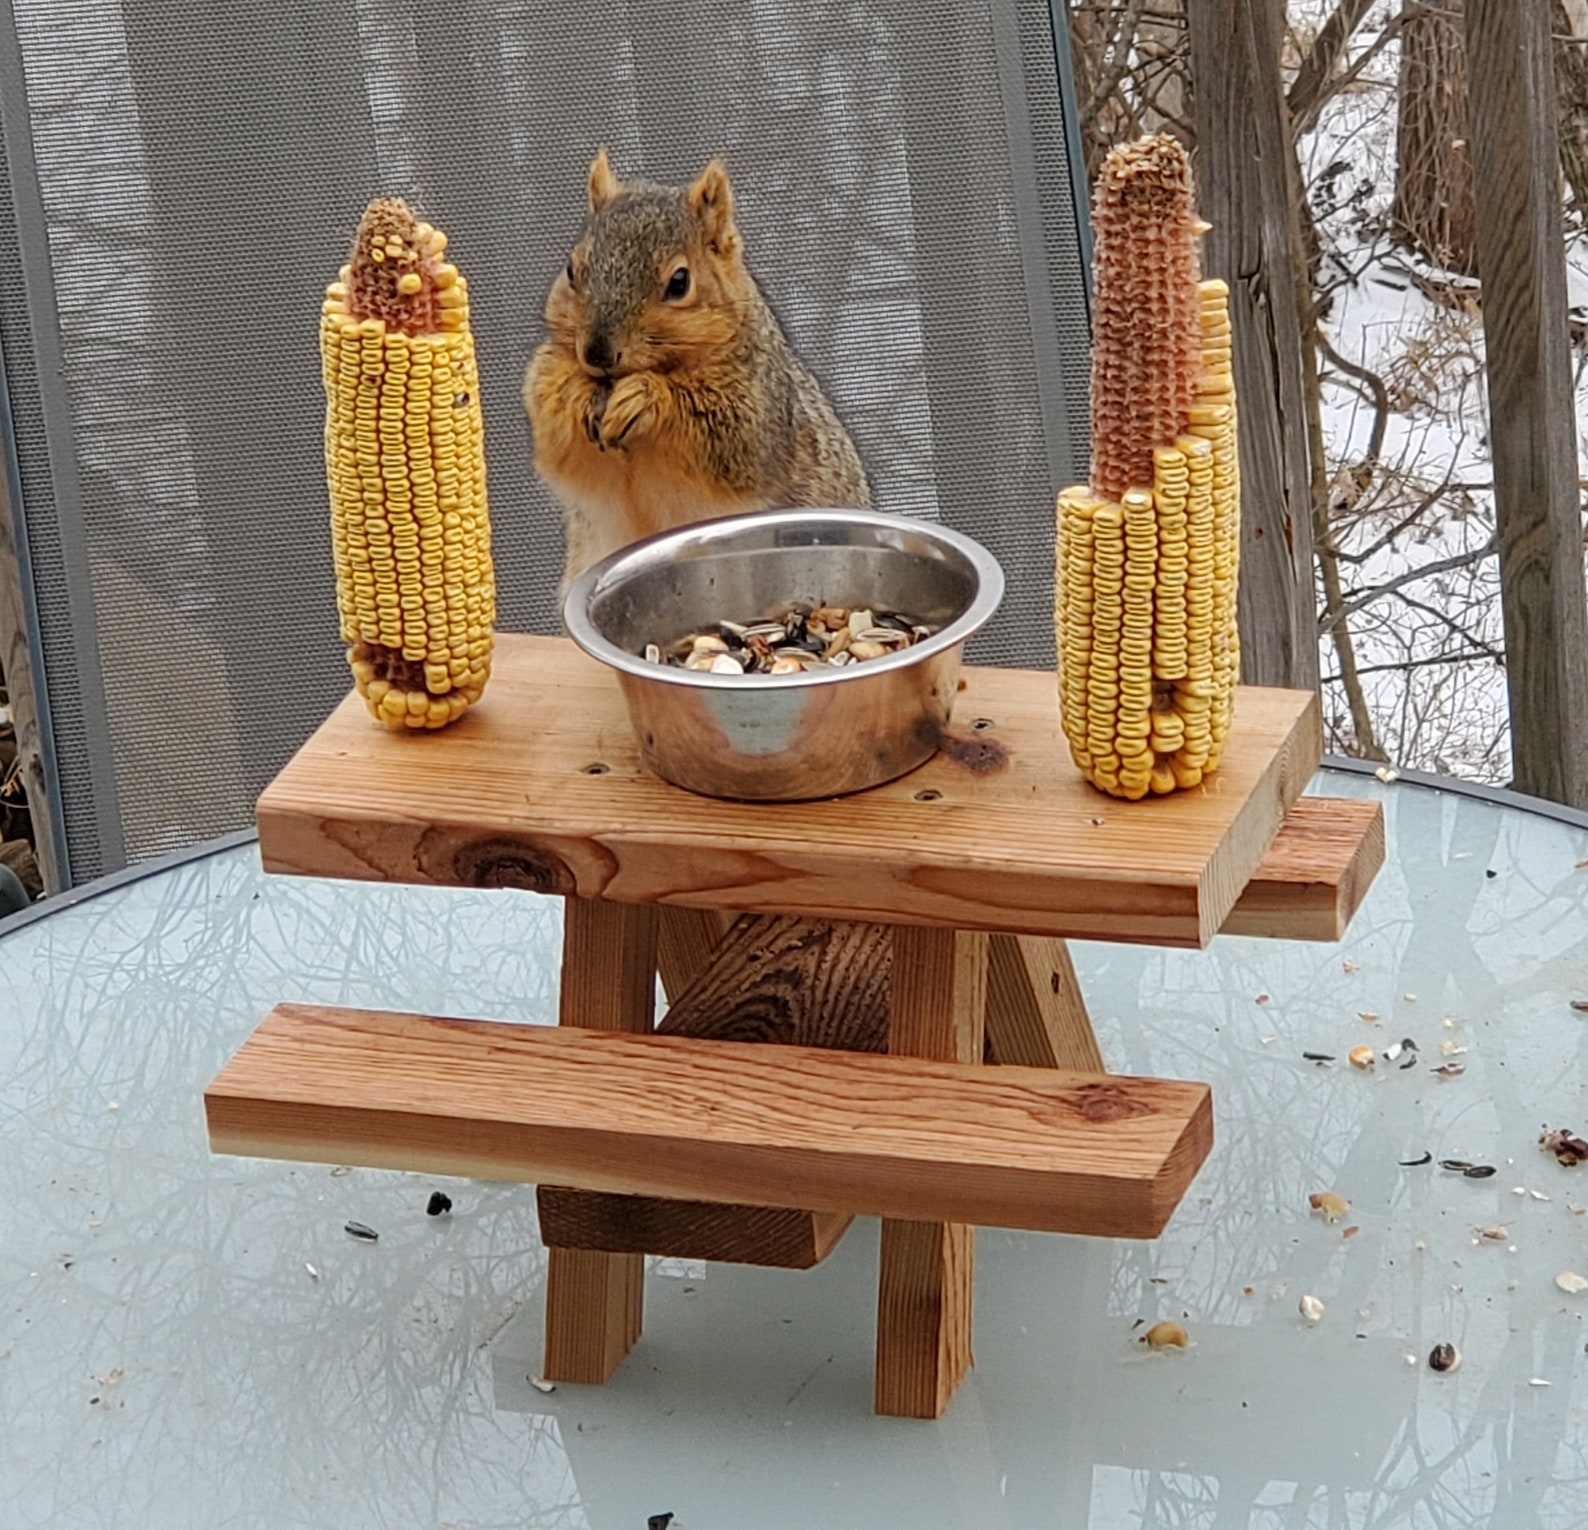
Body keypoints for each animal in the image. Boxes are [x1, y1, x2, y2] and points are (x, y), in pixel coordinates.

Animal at [524, 150, 871, 584]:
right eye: (572, 271)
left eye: (679, 282)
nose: (598, 354)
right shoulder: (550, 380)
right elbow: (554, 430)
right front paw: (579, 390)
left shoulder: (762, 408)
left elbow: (727, 431)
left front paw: (646, 398)